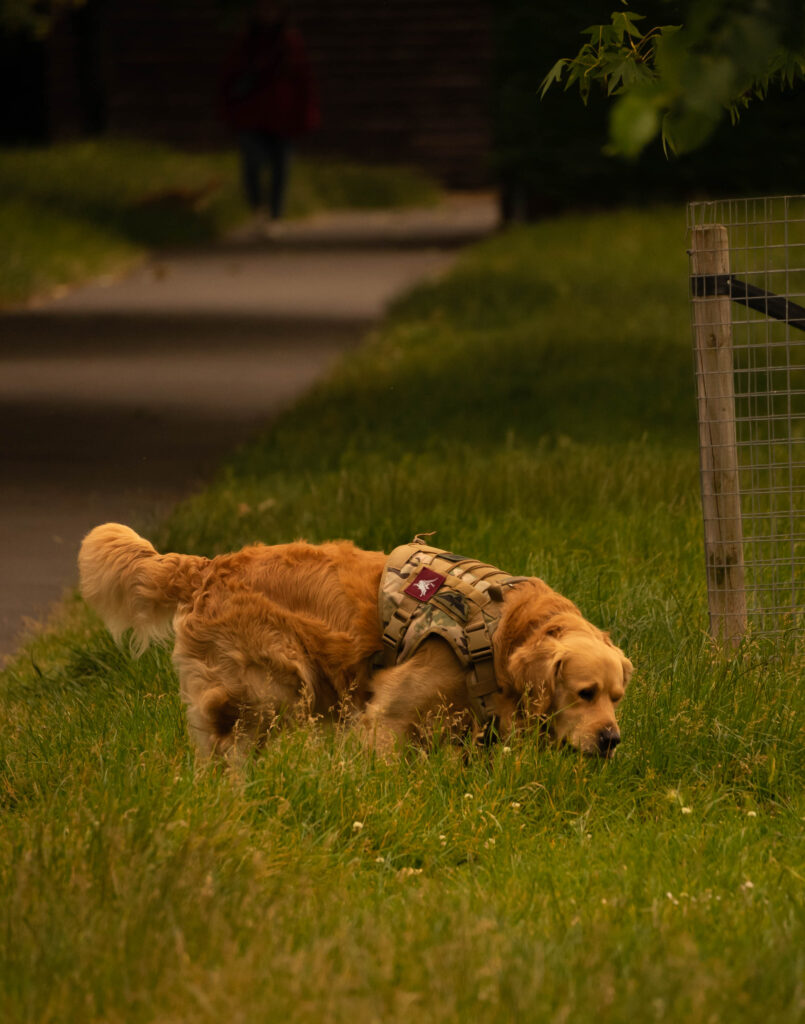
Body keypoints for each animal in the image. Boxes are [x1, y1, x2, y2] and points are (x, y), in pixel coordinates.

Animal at [78, 528, 630, 761]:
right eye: (584, 693)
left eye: (616, 698)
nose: (611, 740)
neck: (498, 632)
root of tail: (207, 566)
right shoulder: (391, 710)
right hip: (276, 687)